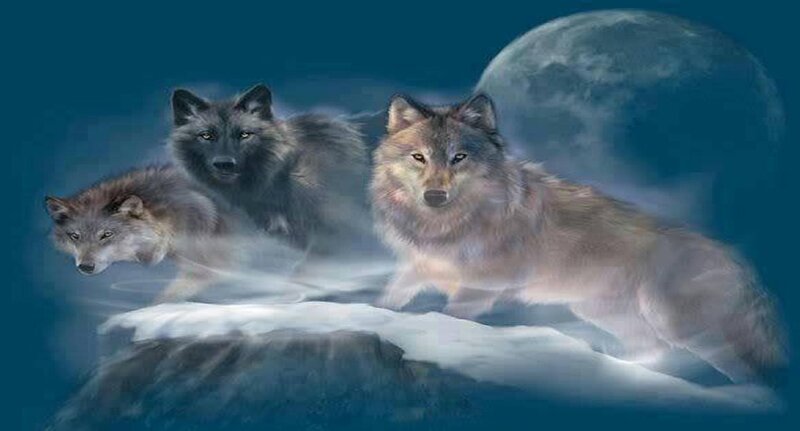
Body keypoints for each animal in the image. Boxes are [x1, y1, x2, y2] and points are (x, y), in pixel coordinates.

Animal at [370, 93, 786, 382]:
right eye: (418, 157)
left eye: (459, 157)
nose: (434, 196)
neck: (448, 224)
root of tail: (740, 263)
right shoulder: (419, 267)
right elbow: (390, 297)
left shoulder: (484, 286)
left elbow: (450, 317)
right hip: (602, 313)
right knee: (653, 350)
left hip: (680, 326)